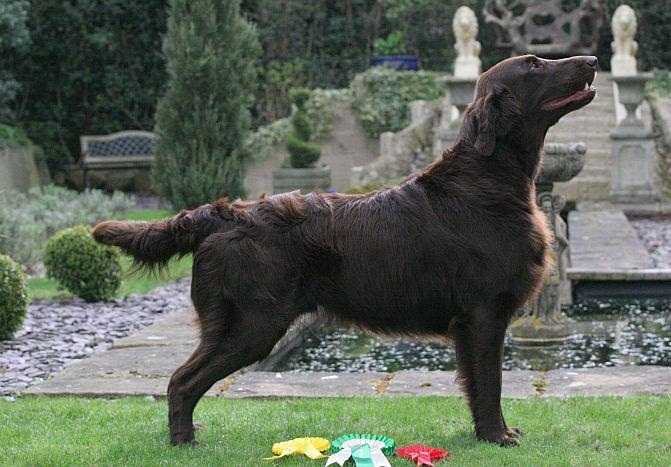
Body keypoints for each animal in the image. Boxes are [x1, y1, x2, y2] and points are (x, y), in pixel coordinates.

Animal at [93, 54, 600, 446]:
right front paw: (498, 436)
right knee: (181, 380)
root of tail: (223, 214)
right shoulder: (484, 312)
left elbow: (476, 385)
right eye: (535, 65)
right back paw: (184, 442)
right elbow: (491, 382)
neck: (489, 179)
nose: (593, 59)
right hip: (253, 323)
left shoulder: (471, 321)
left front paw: (484, 435)